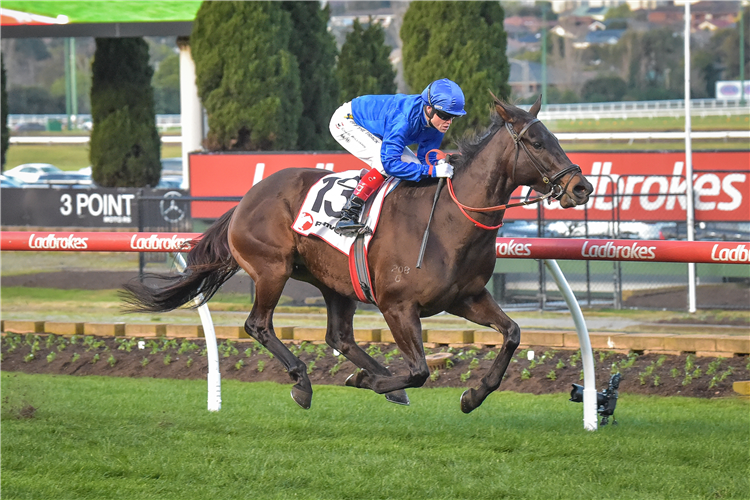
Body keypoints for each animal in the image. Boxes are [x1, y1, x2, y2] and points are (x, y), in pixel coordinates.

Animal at [123, 94, 592, 414]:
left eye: (554, 137)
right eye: (536, 141)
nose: (581, 187)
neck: (447, 222)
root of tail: (245, 199)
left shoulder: (466, 297)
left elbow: (512, 333)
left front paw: (473, 395)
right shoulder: (397, 306)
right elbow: (420, 370)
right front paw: (371, 380)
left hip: (335, 282)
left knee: (339, 337)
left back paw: (377, 378)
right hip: (272, 270)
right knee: (258, 325)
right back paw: (306, 382)